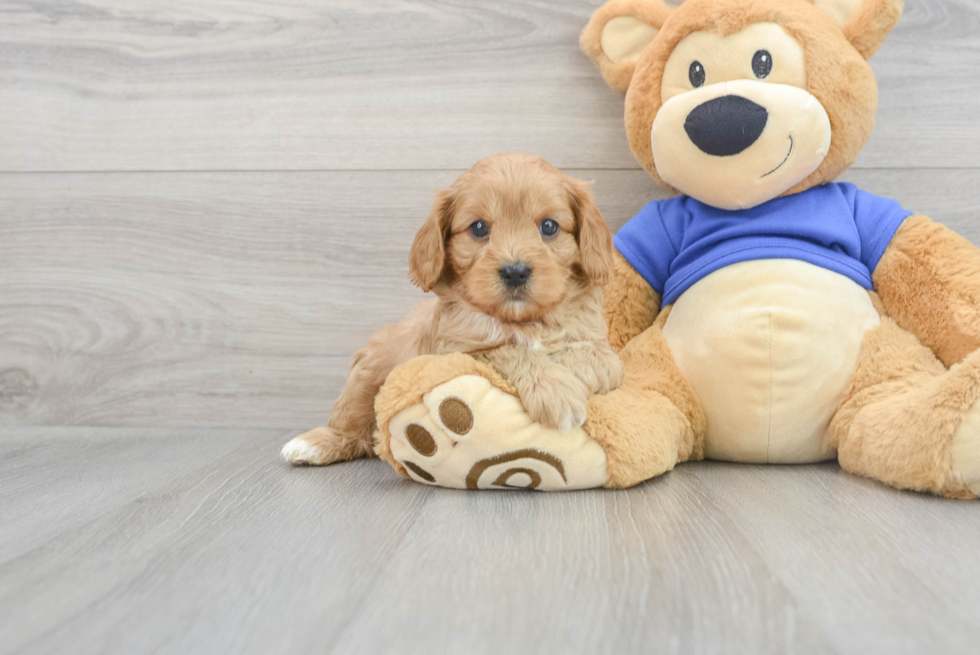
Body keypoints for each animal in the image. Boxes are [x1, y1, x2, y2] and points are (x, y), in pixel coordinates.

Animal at [280, 153, 624, 468]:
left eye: (549, 226)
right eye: (479, 228)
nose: (515, 272)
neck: (523, 320)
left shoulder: (600, 346)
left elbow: (594, 359)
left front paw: (568, 373)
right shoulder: (453, 353)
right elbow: (505, 350)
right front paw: (556, 390)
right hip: (370, 369)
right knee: (352, 426)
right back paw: (312, 445)